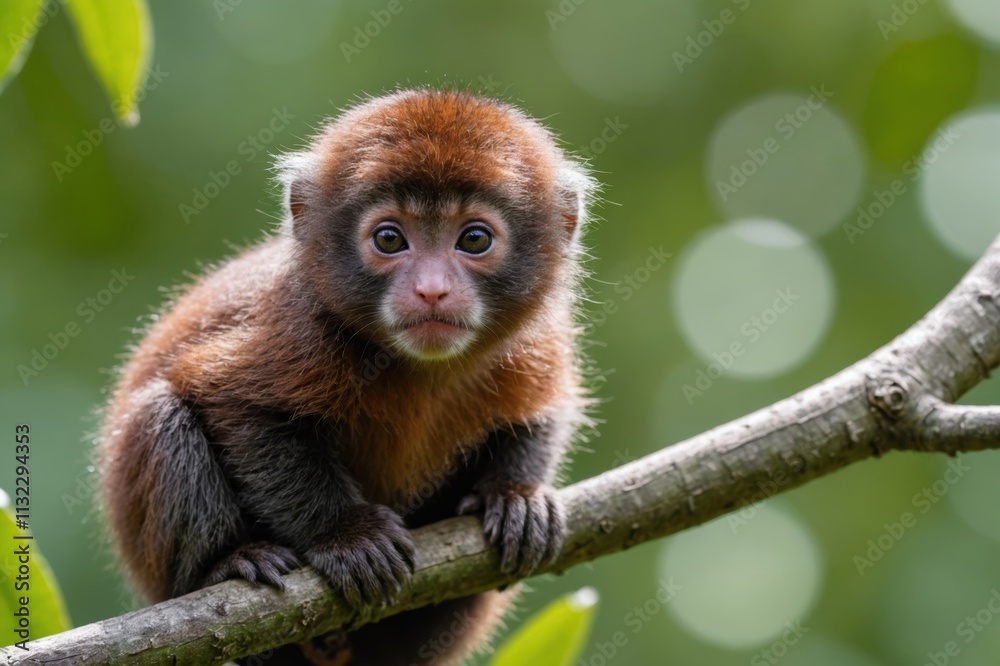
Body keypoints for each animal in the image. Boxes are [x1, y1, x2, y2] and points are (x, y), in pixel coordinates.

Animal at [98, 88, 595, 666]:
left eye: (473, 239)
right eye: (389, 239)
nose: (431, 290)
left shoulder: (537, 341)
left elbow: (541, 410)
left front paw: (515, 495)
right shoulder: (299, 328)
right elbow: (237, 406)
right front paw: (347, 535)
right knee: (163, 415)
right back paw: (222, 566)